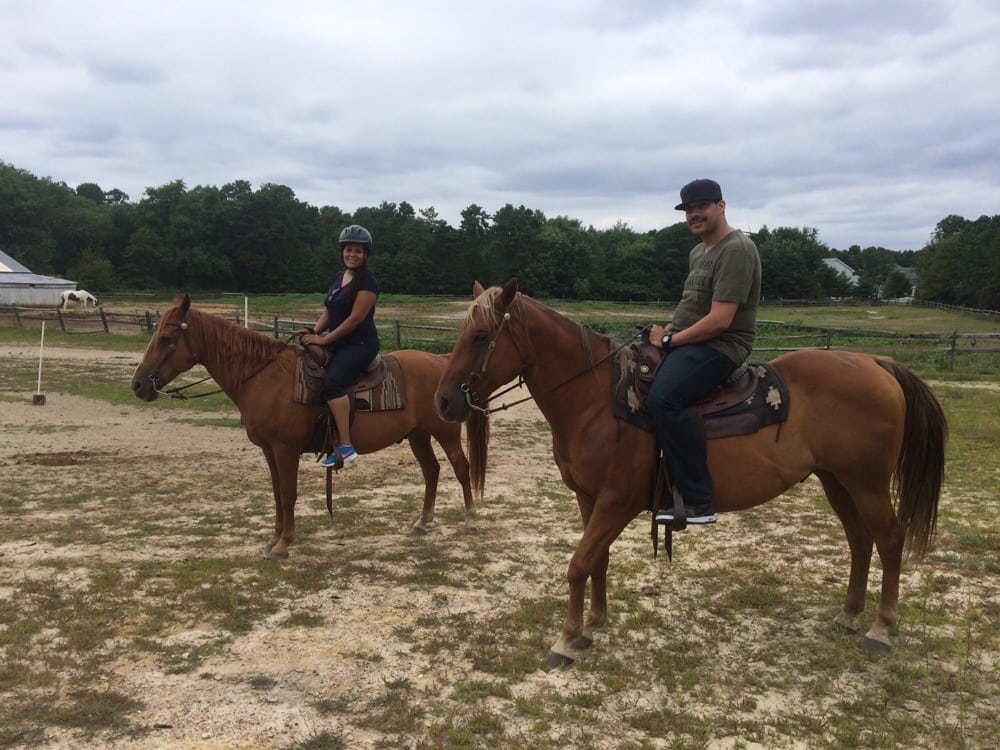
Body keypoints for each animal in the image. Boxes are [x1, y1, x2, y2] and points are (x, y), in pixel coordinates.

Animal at [131, 294, 482, 559]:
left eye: (166, 338)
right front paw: (273, 538)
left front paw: (284, 543)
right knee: (432, 471)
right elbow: (276, 493)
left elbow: (288, 493)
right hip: (417, 435)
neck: (263, 377)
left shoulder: (285, 450)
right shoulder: (269, 451)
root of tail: (441, 362)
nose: (137, 385)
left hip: (445, 432)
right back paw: (422, 523)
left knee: (461, 467)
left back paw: (470, 519)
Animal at [434, 279, 947, 668]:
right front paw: (592, 627)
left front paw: (565, 640)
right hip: (837, 480)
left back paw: (880, 629)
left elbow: (579, 563)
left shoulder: (617, 501)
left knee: (890, 540)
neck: (599, 398)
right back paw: (848, 616)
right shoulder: (589, 498)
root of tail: (875, 362)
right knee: (860, 540)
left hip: (867, 483)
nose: (444, 401)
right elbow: (596, 561)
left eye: (480, 336)